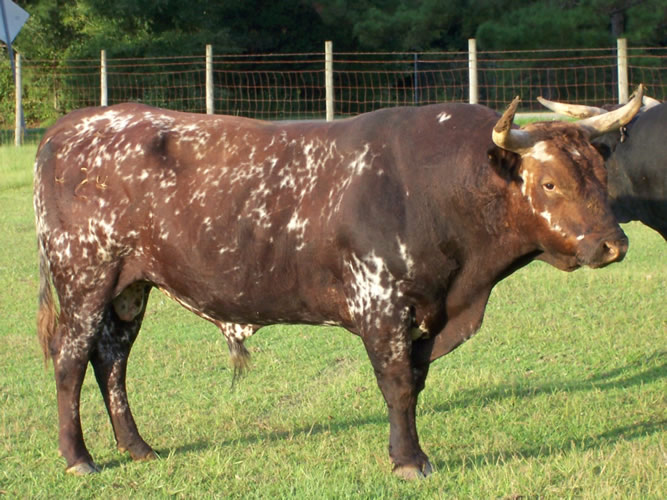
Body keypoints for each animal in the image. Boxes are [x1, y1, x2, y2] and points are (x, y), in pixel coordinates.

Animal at [34, 86, 643, 479]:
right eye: (550, 182)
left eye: (599, 173)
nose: (613, 244)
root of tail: (68, 127)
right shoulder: (381, 305)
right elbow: (398, 386)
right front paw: (409, 462)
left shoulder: (426, 313)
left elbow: (415, 382)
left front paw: (410, 454)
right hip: (85, 278)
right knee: (71, 361)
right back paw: (79, 459)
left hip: (129, 290)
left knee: (112, 361)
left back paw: (137, 448)